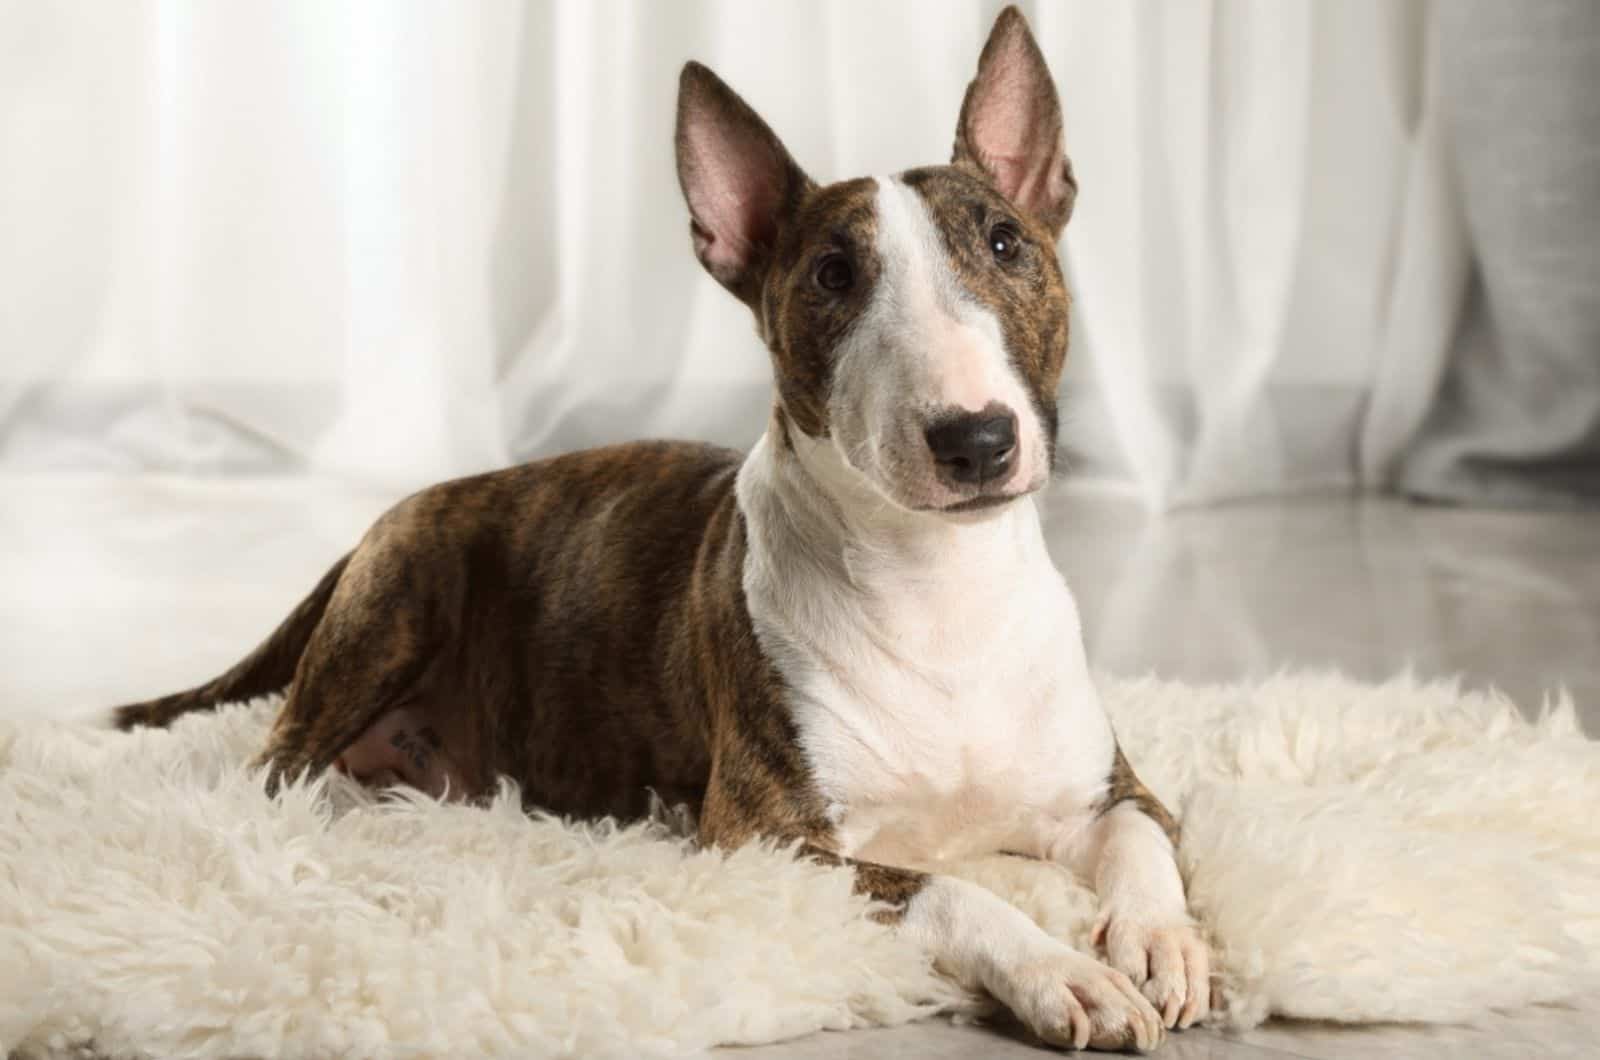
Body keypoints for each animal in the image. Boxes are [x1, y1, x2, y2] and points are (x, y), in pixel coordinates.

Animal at [112, 8, 1203, 1050]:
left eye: (1006, 242)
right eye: (831, 275)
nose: (975, 439)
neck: (941, 586)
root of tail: (406, 509)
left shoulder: (1107, 791)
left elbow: (1147, 841)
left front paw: (1160, 943)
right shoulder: (766, 837)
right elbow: (950, 888)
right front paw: (1065, 973)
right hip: (395, 607)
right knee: (271, 767)